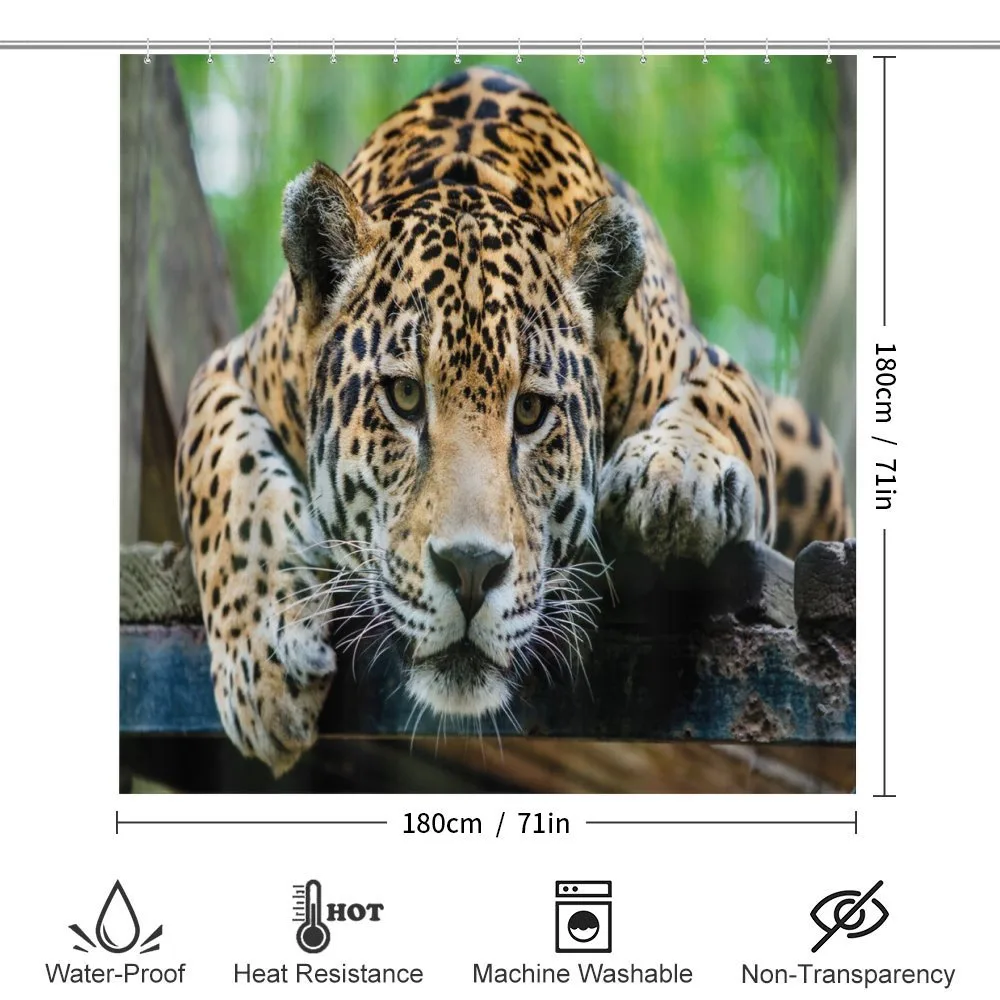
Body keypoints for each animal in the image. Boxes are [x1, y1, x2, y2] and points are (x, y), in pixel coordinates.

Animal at [175, 67, 853, 775]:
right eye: (405, 397)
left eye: (530, 411)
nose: (471, 571)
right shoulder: (227, 369)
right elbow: (228, 480)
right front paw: (263, 665)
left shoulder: (707, 362)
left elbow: (719, 409)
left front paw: (675, 479)